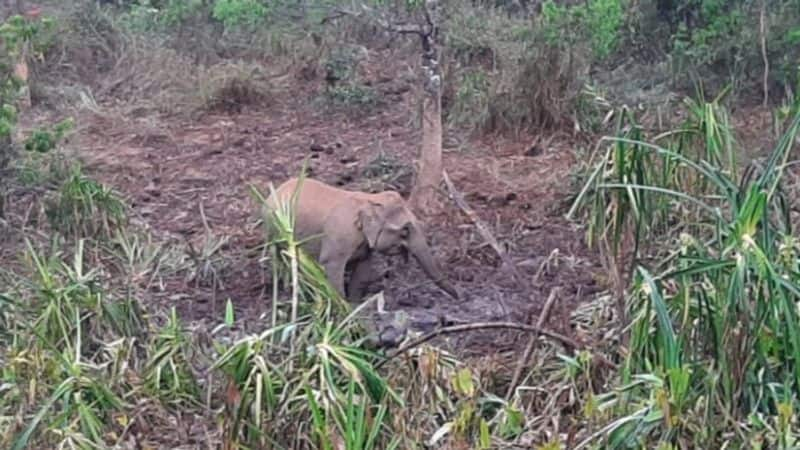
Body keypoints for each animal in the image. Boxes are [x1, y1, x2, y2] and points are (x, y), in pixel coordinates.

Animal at [266, 177, 460, 302]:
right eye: (405, 231)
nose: (459, 296)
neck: (371, 199)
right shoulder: (339, 237)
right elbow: (332, 266)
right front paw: (343, 308)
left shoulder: (364, 243)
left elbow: (363, 268)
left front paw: (354, 304)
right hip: (275, 229)